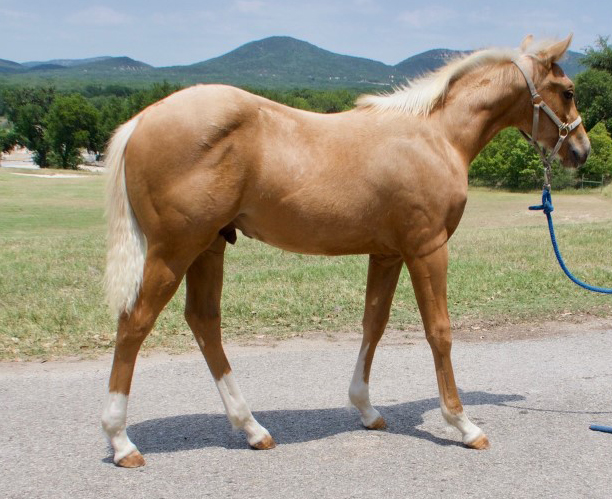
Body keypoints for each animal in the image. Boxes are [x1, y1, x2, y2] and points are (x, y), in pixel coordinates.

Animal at [103, 36, 592, 468]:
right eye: (568, 90)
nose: (581, 150)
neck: (436, 135)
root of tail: (141, 120)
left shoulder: (388, 254)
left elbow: (373, 324)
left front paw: (367, 410)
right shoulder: (427, 249)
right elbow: (440, 331)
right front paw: (463, 424)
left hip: (209, 247)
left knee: (204, 322)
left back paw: (253, 429)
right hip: (174, 250)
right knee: (135, 323)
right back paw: (121, 441)